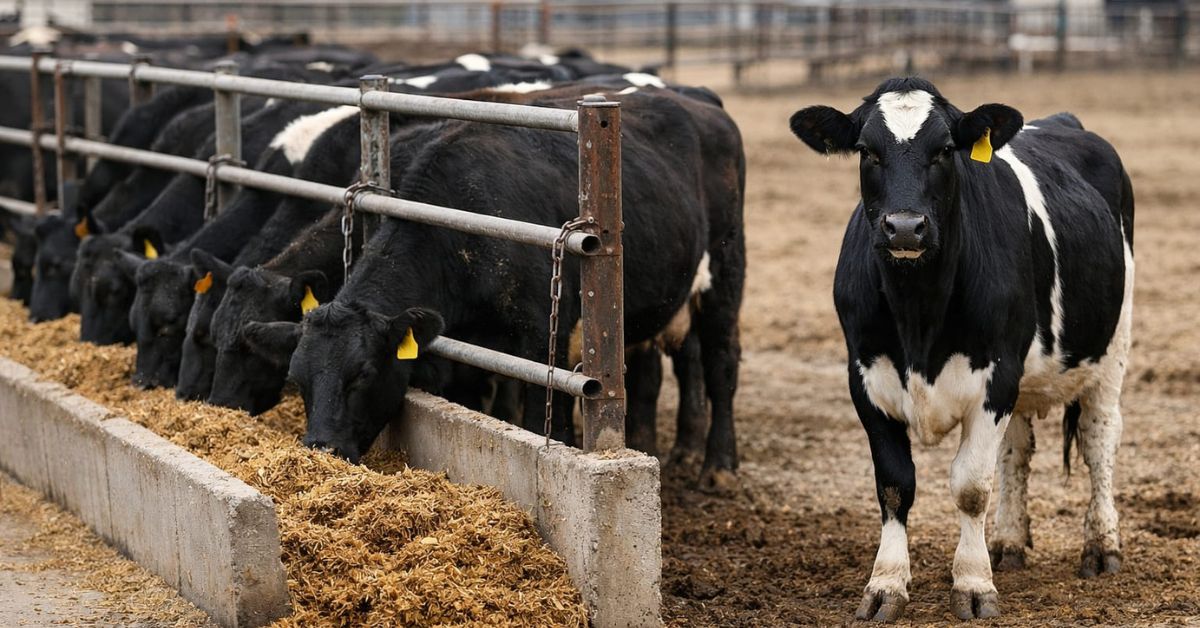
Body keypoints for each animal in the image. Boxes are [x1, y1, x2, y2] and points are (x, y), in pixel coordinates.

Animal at [788, 77, 1134, 621]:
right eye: (866, 151)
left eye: (946, 149)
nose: (905, 227)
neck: (918, 313)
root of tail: (1059, 121)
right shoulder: (865, 380)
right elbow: (895, 484)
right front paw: (886, 584)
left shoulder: (995, 377)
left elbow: (970, 487)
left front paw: (973, 584)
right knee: (1017, 451)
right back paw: (1008, 543)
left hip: (1111, 349)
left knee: (1100, 440)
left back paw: (1101, 547)